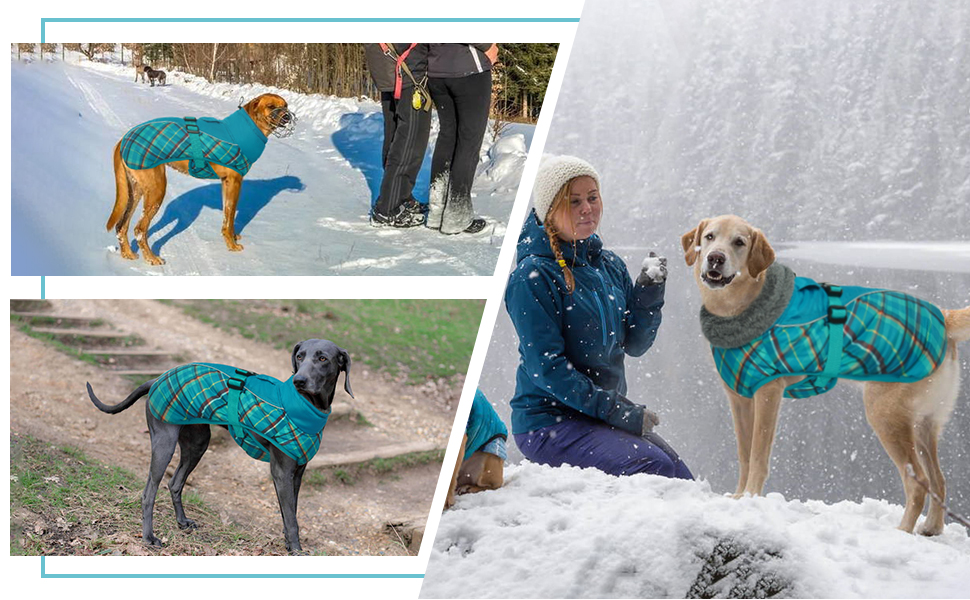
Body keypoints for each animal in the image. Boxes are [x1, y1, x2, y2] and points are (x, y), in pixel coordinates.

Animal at [86, 338, 352, 552]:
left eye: (323, 358)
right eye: (299, 356)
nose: (299, 381)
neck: (306, 406)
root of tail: (157, 378)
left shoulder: (297, 472)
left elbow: (290, 514)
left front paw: (289, 545)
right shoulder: (282, 471)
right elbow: (291, 519)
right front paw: (296, 550)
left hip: (197, 443)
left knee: (175, 483)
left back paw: (182, 522)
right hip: (164, 443)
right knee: (149, 492)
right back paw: (149, 537)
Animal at [680, 214, 968, 536]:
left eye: (739, 242)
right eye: (709, 236)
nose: (715, 258)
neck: (739, 308)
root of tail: (942, 316)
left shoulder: (768, 393)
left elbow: (758, 455)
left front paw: (752, 497)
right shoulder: (739, 398)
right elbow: (743, 454)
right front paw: (740, 496)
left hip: (886, 415)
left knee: (918, 482)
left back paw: (902, 530)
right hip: (924, 423)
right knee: (940, 479)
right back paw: (931, 527)